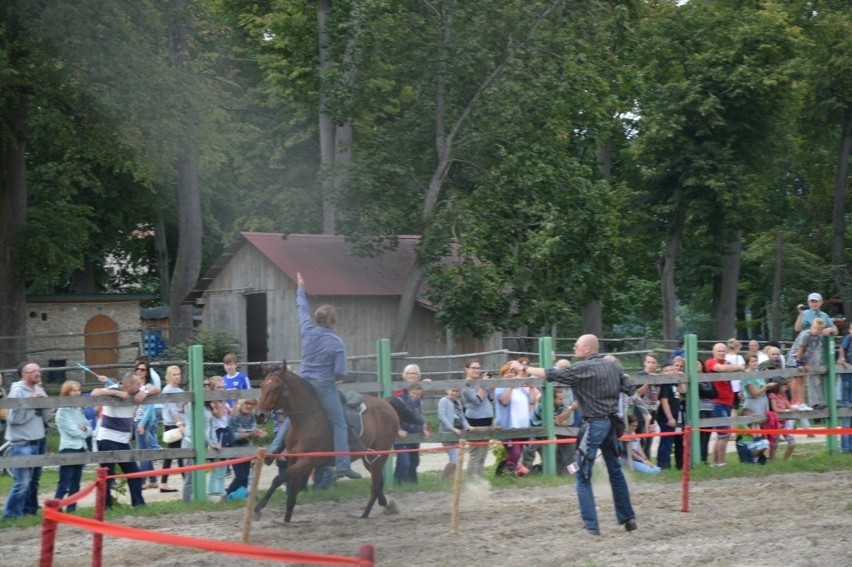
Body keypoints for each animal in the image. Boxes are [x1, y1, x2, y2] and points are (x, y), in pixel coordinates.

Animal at [253, 364, 412, 524]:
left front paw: (258, 508)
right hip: (370, 458)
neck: (307, 419)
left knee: (374, 486)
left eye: (277, 387)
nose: (260, 415)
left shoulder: (307, 462)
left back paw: (365, 514)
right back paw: (384, 504)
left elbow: (278, 479)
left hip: (379, 455)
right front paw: (286, 519)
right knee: (378, 483)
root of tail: (386, 403)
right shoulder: (294, 460)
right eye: (262, 385)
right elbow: (291, 495)